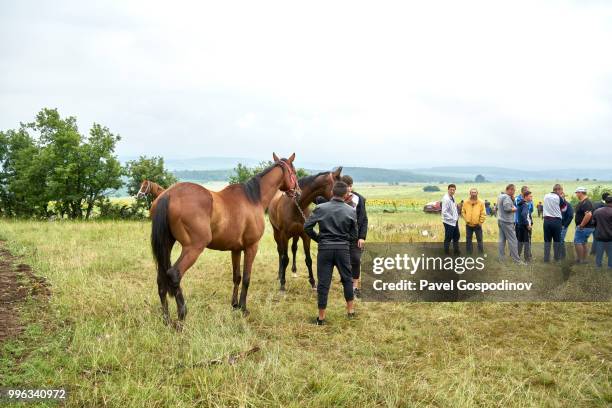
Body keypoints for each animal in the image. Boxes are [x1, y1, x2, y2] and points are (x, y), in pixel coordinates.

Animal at [151, 154, 298, 326]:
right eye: (294, 172)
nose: (297, 191)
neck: (253, 199)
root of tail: (168, 195)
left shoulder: (236, 249)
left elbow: (237, 277)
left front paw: (234, 305)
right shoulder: (251, 247)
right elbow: (246, 278)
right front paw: (243, 308)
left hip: (166, 245)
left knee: (161, 279)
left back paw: (166, 318)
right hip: (193, 248)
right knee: (174, 274)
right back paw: (182, 315)